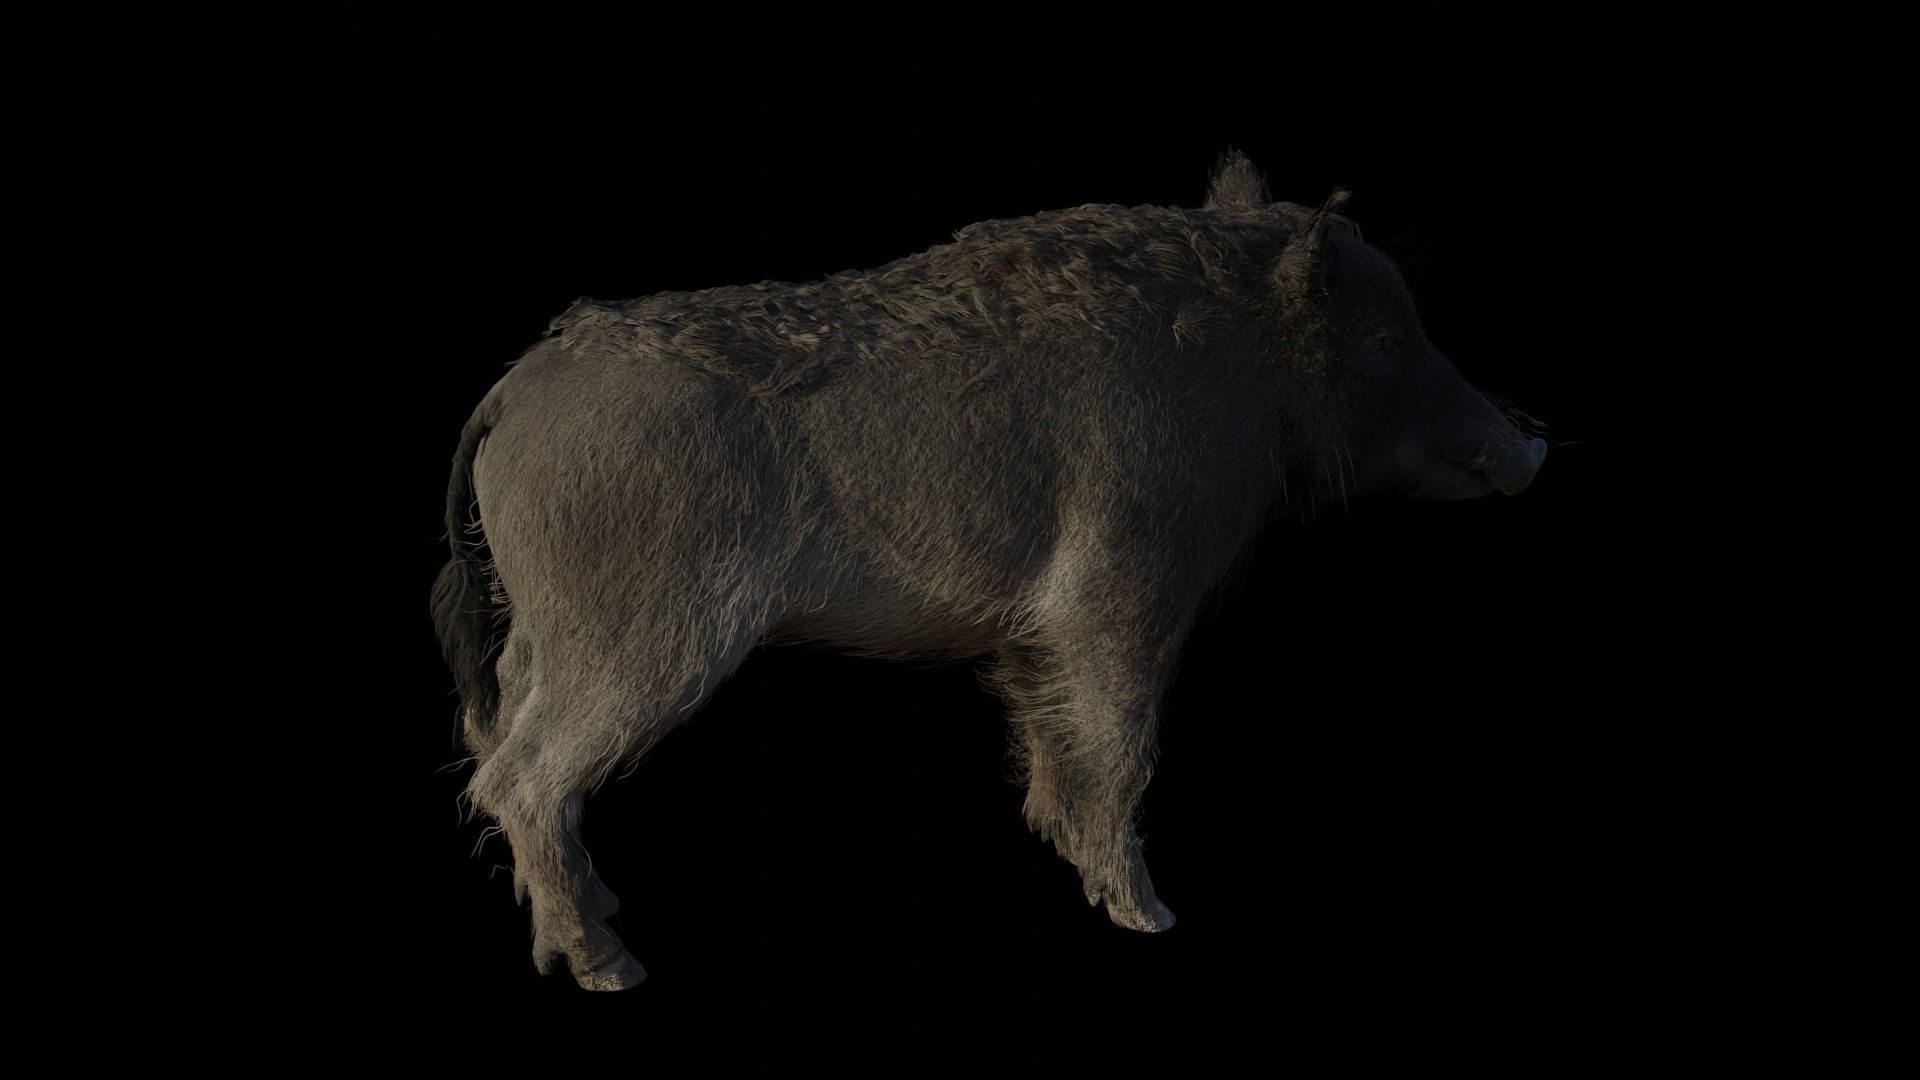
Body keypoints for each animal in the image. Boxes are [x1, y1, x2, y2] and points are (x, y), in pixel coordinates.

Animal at [430, 151, 1547, 990]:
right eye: (1382, 339)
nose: (1533, 445)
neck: (1253, 381)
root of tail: (511, 392)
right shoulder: (1127, 587)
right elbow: (1121, 744)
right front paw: (1151, 918)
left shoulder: (1030, 626)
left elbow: (1050, 733)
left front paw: (1069, 859)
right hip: (638, 634)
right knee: (520, 774)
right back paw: (609, 966)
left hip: (546, 629)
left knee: (499, 738)